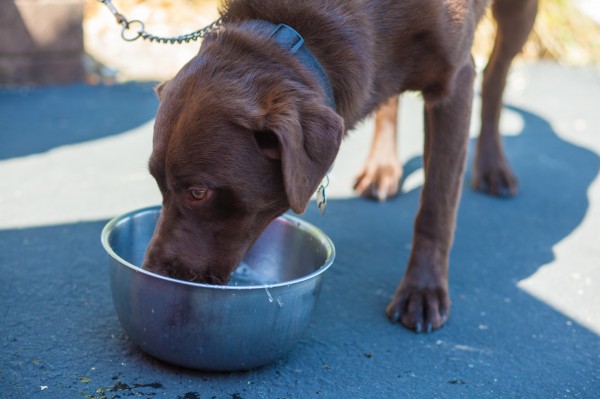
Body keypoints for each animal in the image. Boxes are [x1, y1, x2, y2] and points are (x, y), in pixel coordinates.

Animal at [143, 0, 536, 334]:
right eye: (158, 184)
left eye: (199, 192)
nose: (151, 273)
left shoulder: (455, 82)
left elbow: (436, 208)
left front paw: (423, 291)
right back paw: (382, 167)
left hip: (519, 15)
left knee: (496, 75)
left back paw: (493, 166)